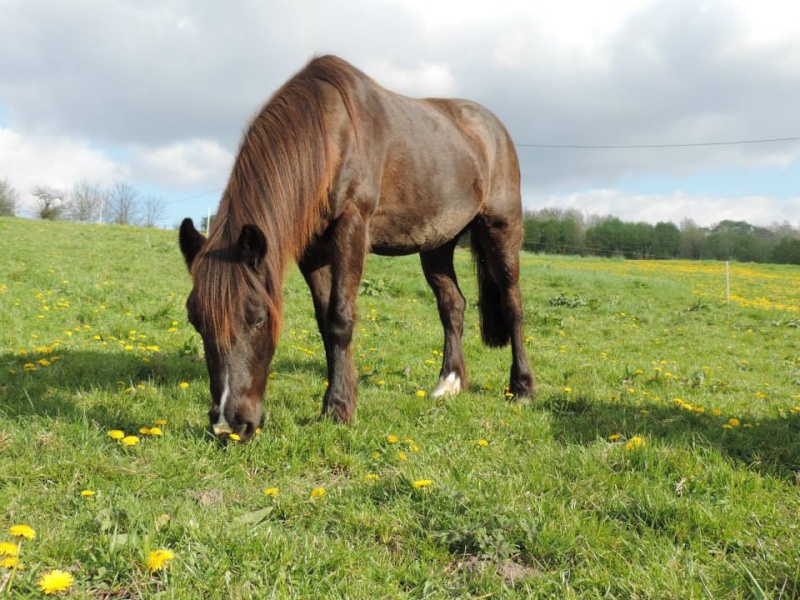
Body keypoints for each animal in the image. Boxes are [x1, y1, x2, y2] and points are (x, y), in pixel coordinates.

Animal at [178, 56, 536, 440]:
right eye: (196, 321)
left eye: (258, 318)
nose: (227, 425)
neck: (331, 136)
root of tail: (493, 127)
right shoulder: (312, 252)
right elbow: (326, 322)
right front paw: (343, 398)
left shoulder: (352, 228)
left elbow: (340, 317)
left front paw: (337, 408)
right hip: (438, 242)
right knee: (453, 305)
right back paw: (449, 383)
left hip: (501, 229)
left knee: (512, 304)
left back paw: (522, 388)